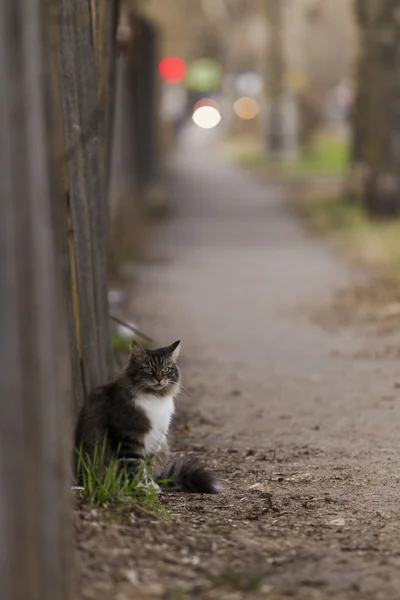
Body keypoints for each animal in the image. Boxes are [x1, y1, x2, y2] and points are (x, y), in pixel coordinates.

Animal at [73, 340, 220, 494]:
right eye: (149, 369)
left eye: (166, 369)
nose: (159, 378)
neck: (155, 398)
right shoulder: (129, 436)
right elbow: (136, 465)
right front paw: (141, 487)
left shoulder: (155, 439)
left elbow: (148, 465)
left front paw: (149, 486)